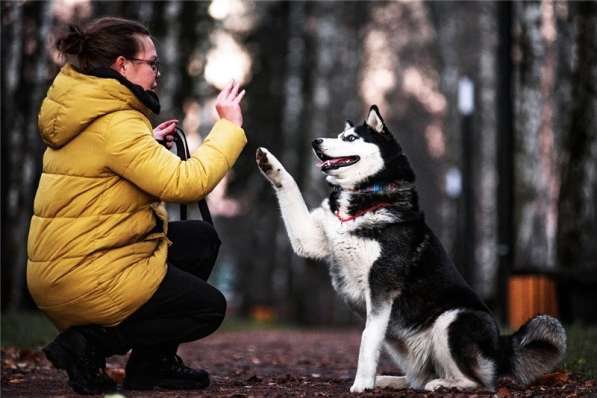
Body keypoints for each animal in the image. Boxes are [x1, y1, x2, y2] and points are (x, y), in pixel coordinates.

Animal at [254, 105, 564, 392]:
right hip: (405, 343)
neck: (368, 196)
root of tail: (502, 346)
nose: (316, 142)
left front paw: (361, 384)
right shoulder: (309, 239)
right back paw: (389, 380)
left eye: (351, 138)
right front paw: (269, 163)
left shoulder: (381, 286)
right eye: (339, 135)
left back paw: (444, 384)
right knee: (418, 378)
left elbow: (367, 339)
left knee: (480, 382)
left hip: (451, 319)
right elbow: (290, 189)